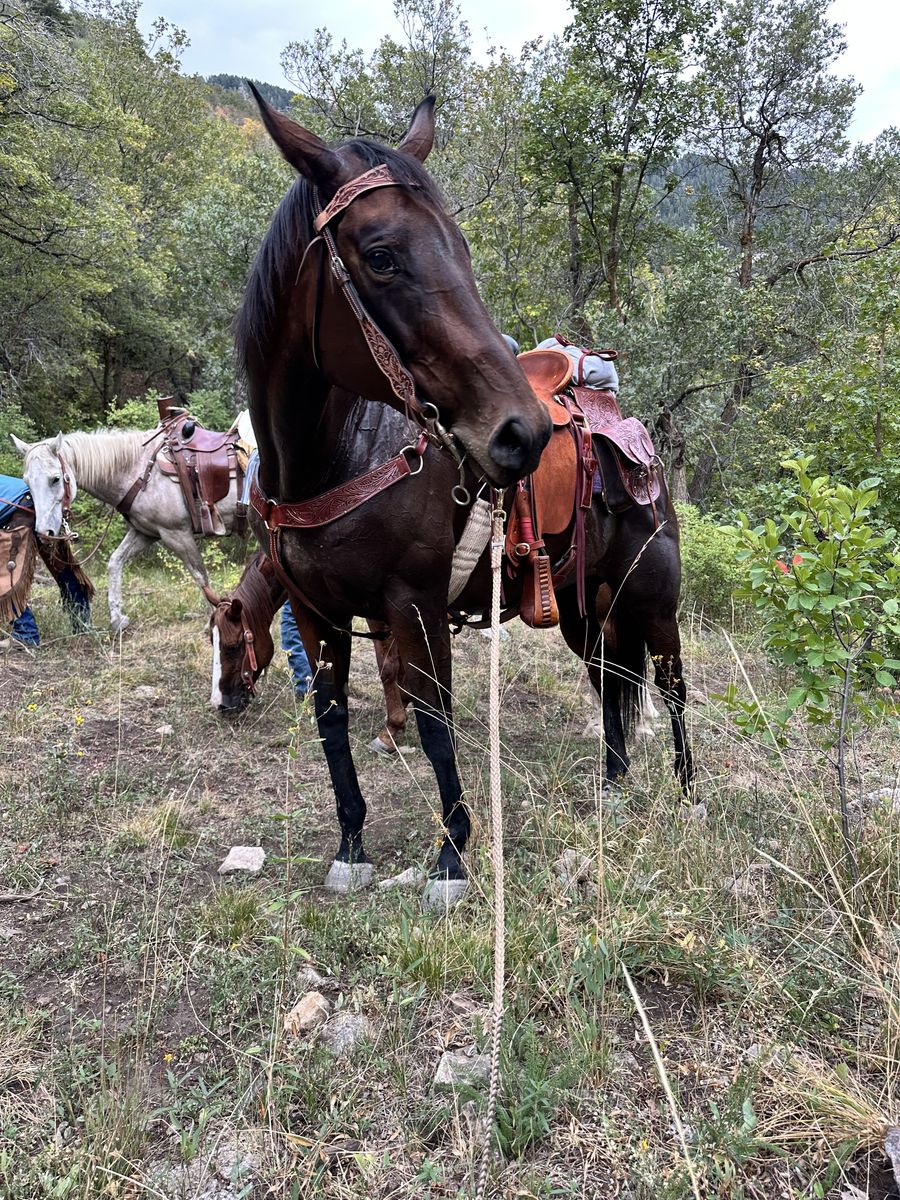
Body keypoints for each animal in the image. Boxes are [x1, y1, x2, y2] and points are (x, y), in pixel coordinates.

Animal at [11, 426, 243, 632]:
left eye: (55, 479)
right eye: (27, 482)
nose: (45, 533)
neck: (141, 472)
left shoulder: (176, 534)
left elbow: (200, 576)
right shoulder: (145, 532)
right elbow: (115, 562)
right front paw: (117, 618)